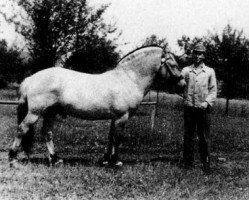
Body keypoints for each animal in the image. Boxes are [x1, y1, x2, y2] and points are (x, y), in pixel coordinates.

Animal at [8, 45, 186, 167]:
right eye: (174, 65)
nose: (183, 85)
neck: (128, 79)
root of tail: (31, 78)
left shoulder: (115, 118)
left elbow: (111, 138)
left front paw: (106, 160)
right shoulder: (122, 116)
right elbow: (118, 138)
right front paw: (116, 162)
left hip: (50, 112)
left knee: (47, 133)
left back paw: (56, 159)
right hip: (34, 112)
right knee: (22, 129)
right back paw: (13, 158)